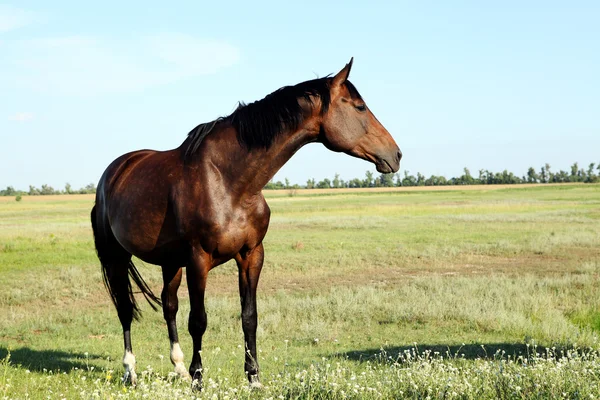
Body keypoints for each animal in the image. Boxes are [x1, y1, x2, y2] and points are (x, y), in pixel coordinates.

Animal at [91, 57, 400, 390]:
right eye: (360, 107)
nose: (396, 154)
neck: (229, 181)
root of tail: (114, 172)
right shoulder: (198, 260)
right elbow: (198, 320)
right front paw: (198, 380)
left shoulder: (251, 255)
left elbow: (249, 316)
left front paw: (253, 378)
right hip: (118, 257)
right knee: (125, 309)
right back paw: (130, 371)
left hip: (170, 262)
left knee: (168, 305)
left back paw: (179, 368)